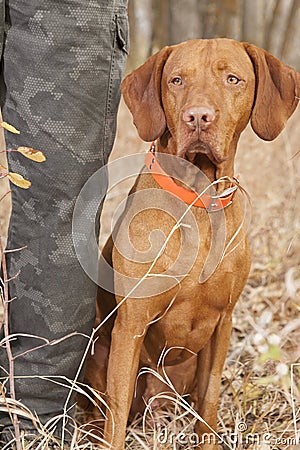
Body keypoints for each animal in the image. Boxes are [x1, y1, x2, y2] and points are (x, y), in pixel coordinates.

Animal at [82, 40, 300, 448]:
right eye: (176, 80)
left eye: (232, 79)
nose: (198, 117)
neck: (199, 197)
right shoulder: (131, 324)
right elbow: (116, 412)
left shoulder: (223, 324)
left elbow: (210, 400)